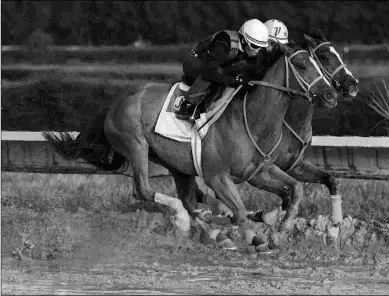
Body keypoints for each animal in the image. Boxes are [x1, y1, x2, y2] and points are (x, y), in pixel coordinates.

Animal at [44, 41, 338, 247]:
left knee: (188, 199)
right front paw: (256, 238)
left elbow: (295, 190)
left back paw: (215, 228)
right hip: (136, 145)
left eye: (318, 63)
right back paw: (189, 220)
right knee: (145, 191)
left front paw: (281, 231)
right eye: (302, 65)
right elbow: (241, 211)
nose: (331, 94)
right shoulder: (218, 175)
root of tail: (116, 102)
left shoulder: (259, 171)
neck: (253, 118)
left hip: (176, 164)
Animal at [192, 29, 360, 243]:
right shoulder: (258, 171)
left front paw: (333, 228)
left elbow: (327, 180)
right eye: (324, 57)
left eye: (337, 53)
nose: (352, 85)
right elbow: (285, 195)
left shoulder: (294, 166)